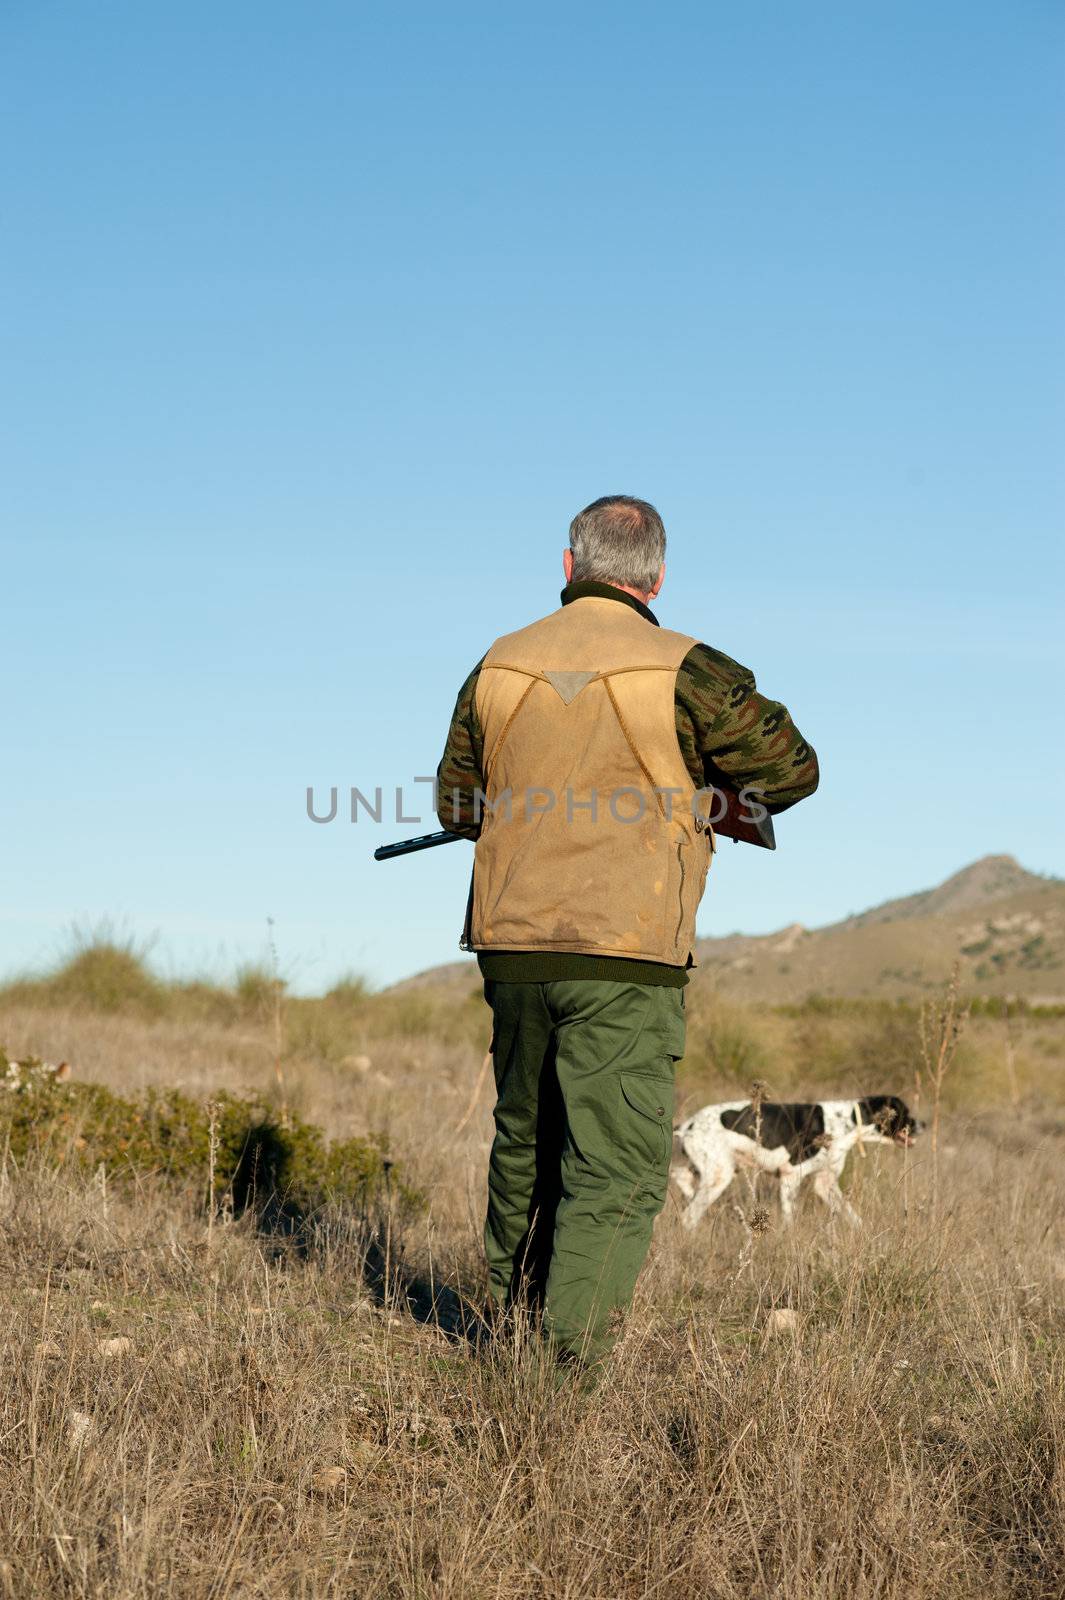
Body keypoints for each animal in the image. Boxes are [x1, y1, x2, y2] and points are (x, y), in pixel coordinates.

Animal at [671, 1094, 914, 1228]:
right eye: (905, 1113)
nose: (920, 1124)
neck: (847, 1121)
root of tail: (687, 1125)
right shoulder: (790, 1177)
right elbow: (789, 1219)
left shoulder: (825, 1183)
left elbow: (852, 1215)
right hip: (719, 1175)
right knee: (689, 1216)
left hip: (707, 1169)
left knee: (681, 1180)